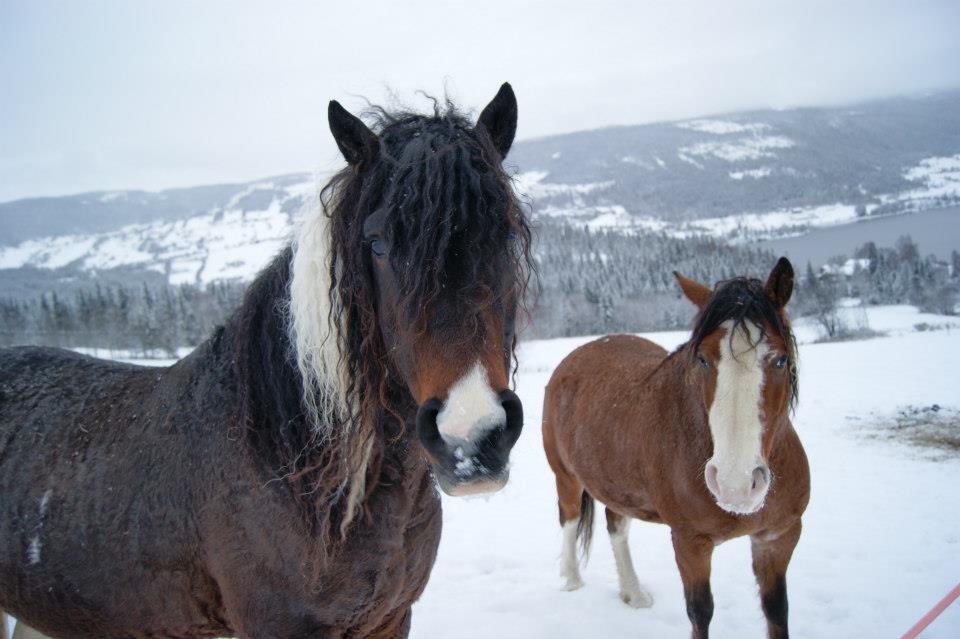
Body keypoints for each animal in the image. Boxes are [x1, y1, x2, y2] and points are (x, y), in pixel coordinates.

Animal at [544, 258, 808, 639]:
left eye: (780, 360)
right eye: (703, 360)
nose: (735, 485)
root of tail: (577, 355)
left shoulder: (778, 538)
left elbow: (777, 609)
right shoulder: (690, 542)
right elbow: (700, 611)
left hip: (616, 482)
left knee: (616, 526)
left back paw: (633, 592)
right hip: (565, 476)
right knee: (569, 518)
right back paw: (571, 579)